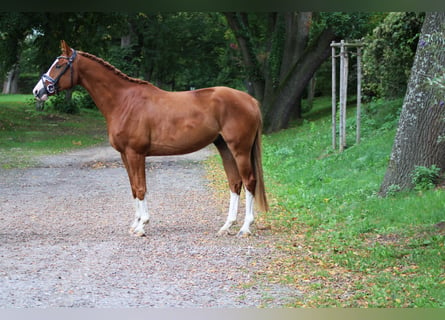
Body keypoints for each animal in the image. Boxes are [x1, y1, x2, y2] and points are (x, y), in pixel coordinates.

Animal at [33, 40, 268, 236]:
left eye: (59, 65)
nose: (37, 91)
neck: (124, 101)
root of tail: (250, 100)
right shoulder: (125, 155)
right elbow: (133, 188)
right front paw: (135, 223)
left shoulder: (136, 153)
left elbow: (140, 187)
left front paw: (142, 226)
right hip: (224, 147)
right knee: (235, 183)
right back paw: (226, 226)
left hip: (240, 149)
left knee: (249, 182)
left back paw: (245, 228)